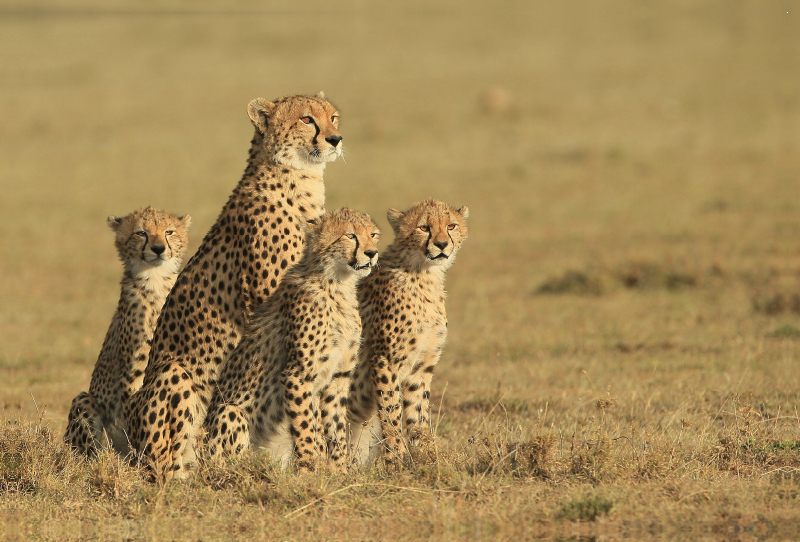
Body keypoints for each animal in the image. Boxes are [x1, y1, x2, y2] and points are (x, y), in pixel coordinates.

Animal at [64, 208, 191, 460]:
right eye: (141, 233)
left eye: (169, 232)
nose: (158, 248)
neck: (156, 280)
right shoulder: (136, 365)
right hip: (86, 402)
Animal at [123, 91, 342, 482]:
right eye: (306, 119)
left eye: (333, 117)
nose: (335, 139)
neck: (298, 178)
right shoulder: (270, 300)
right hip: (175, 377)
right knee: (167, 463)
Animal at [206, 208, 382, 472]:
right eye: (350, 235)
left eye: (373, 235)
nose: (372, 253)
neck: (338, 285)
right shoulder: (297, 375)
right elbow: (306, 428)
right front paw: (311, 469)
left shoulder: (338, 378)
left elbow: (336, 429)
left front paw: (339, 471)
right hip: (230, 412)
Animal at [346, 202, 466, 466]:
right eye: (423, 227)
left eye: (451, 225)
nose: (442, 244)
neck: (424, 274)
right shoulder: (384, 361)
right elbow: (391, 413)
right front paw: (397, 460)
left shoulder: (421, 367)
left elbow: (417, 414)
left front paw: (425, 456)